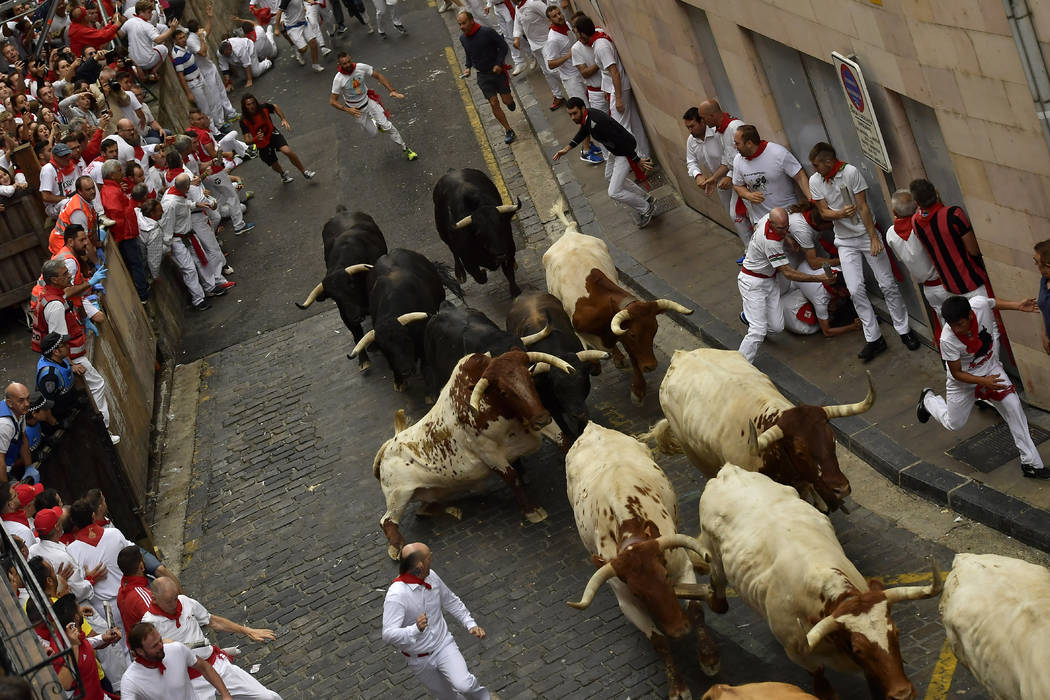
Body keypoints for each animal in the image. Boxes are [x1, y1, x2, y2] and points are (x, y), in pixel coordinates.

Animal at [294, 207, 388, 369]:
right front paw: (363, 361)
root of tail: (342, 211)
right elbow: (357, 335)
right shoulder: (345, 314)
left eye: (351, 285)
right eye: (334, 297)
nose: (356, 316)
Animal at [430, 167, 520, 298]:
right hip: (442, 232)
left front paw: (515, 291)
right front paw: (482, 272)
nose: (500, 254)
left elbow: (509, 273)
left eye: (503, 226)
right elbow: (479, 277)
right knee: (453, 250)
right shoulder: (469, 262)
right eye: (478, 233)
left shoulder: (510, 250)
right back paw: (460, 274)